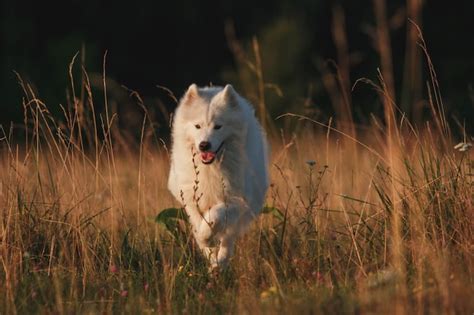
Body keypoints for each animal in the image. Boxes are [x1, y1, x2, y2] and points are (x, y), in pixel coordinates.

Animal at [168, 83, 268, 270]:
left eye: (218, 126)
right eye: (197, 126)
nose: (204, 145)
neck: (211, 168)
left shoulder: (237, 200)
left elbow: (215, 215)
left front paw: (209, 239)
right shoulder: (192, 201)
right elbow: (199, 225)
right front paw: (206, 244)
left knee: (228, 239)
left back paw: (221, 261)